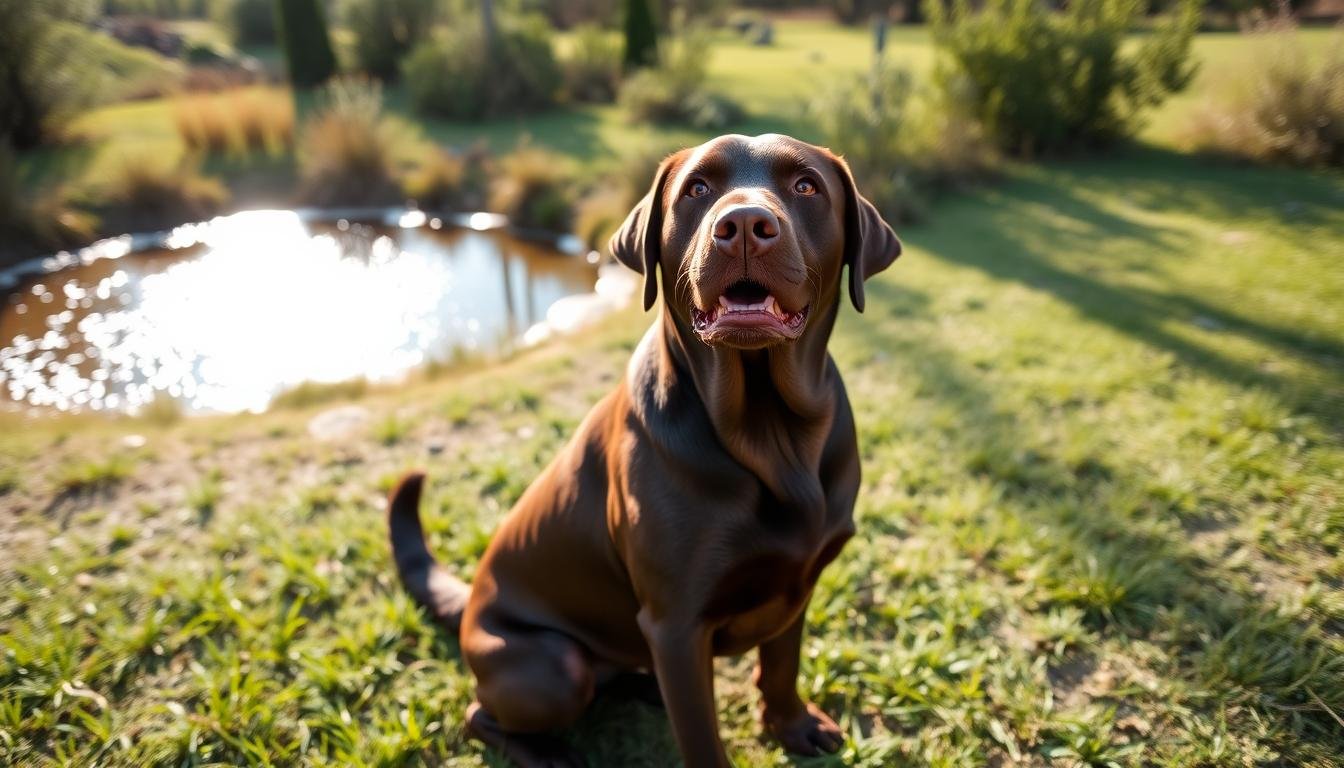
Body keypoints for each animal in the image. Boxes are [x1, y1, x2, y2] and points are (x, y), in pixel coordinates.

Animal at [384, 135, 897, 763]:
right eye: (697, 188)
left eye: (806, 186)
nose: (743, 225)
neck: (770, 433)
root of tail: (470, 603)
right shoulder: (676, 626)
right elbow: (702, 738)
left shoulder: (795, 583)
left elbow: (781, 665)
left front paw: (792, 725)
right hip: (553, 667)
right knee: (481, 713)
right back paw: (549, 754)